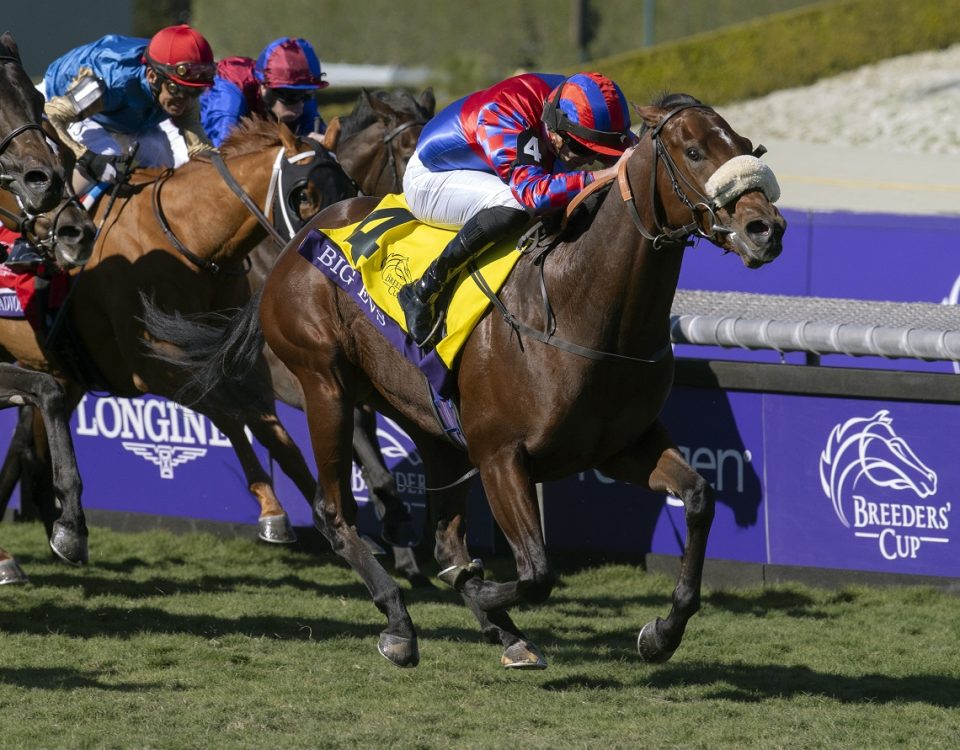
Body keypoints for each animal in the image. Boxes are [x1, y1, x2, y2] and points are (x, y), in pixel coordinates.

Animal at [146, 95, 784, 668]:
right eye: (694, 150)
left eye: (744, 143)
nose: (765, 227)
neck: (580, 305)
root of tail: (297, 239)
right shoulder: (502, 455)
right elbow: (535, 572)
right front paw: (482, 596)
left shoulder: (620, 444)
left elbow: (698, 498)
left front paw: (661, 633)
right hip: (324, 383)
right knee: (335, 512)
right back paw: (400, 622)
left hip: (429, 422)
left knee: (445, 539)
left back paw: (499, 629)